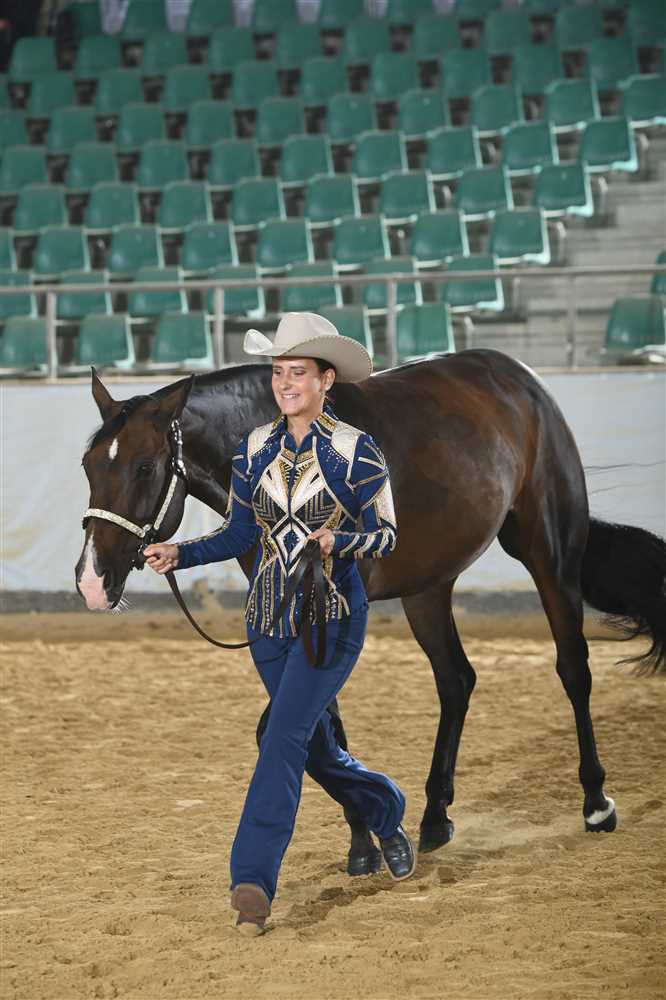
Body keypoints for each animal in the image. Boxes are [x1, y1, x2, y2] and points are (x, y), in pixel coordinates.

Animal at [76, 350, 666, 875]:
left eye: (145, 466)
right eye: (88, 465)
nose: (91, 581)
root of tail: (523, 381)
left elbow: (303, 726)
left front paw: (380, 831)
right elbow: (319, 727)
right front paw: (365, 841)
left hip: (548, 551)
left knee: (573, 668)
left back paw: (596, 803)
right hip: (429, 586)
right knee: (456, 680)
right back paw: (435, 817)